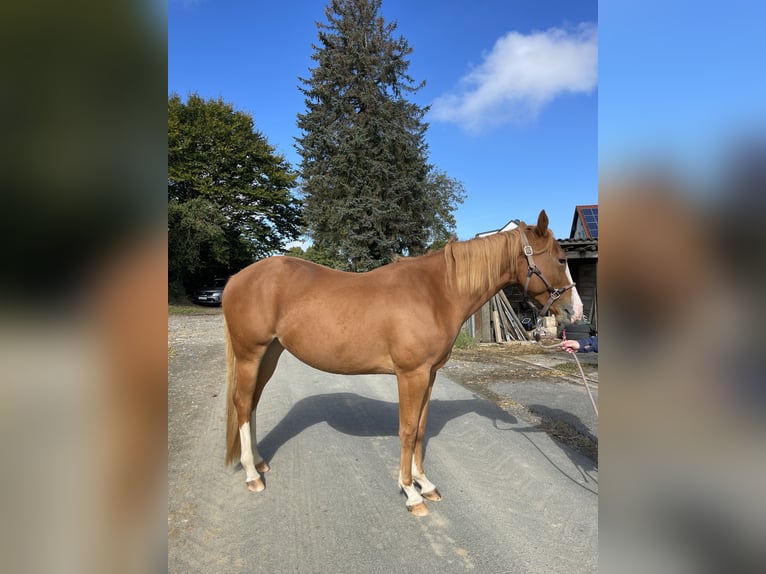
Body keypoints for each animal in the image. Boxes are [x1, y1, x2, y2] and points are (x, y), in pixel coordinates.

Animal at [222, 209, 577, 516]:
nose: (574, 311)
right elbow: (406, 430)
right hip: (250, 354)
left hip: (270, 354)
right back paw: (252, 475)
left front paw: (425, 484)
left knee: (251, 404)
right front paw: (410, 493)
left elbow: (420, 428)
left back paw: (258, 462)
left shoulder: (429, 374)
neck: (436, 293)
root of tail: (236, 279)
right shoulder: (411, 375)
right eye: (560, 259)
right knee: (242, 403)